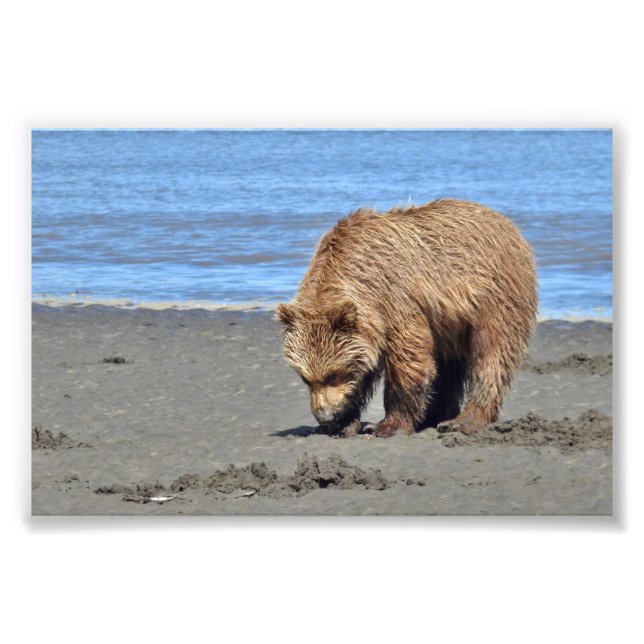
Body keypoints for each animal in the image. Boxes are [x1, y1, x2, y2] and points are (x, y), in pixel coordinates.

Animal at [275, 199, 537, 438]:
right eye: (305, 378)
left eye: (332, 375)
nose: (324, 415)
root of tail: (507, 223)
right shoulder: (368, 326)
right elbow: (363, 368)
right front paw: (342, 423)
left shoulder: (394, 298)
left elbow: (409, 358)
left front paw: (386, 425)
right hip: (450, 324)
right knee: (449, 366)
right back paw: (436, 415)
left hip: (496, 292)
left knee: (491, 354)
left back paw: (463, 421)